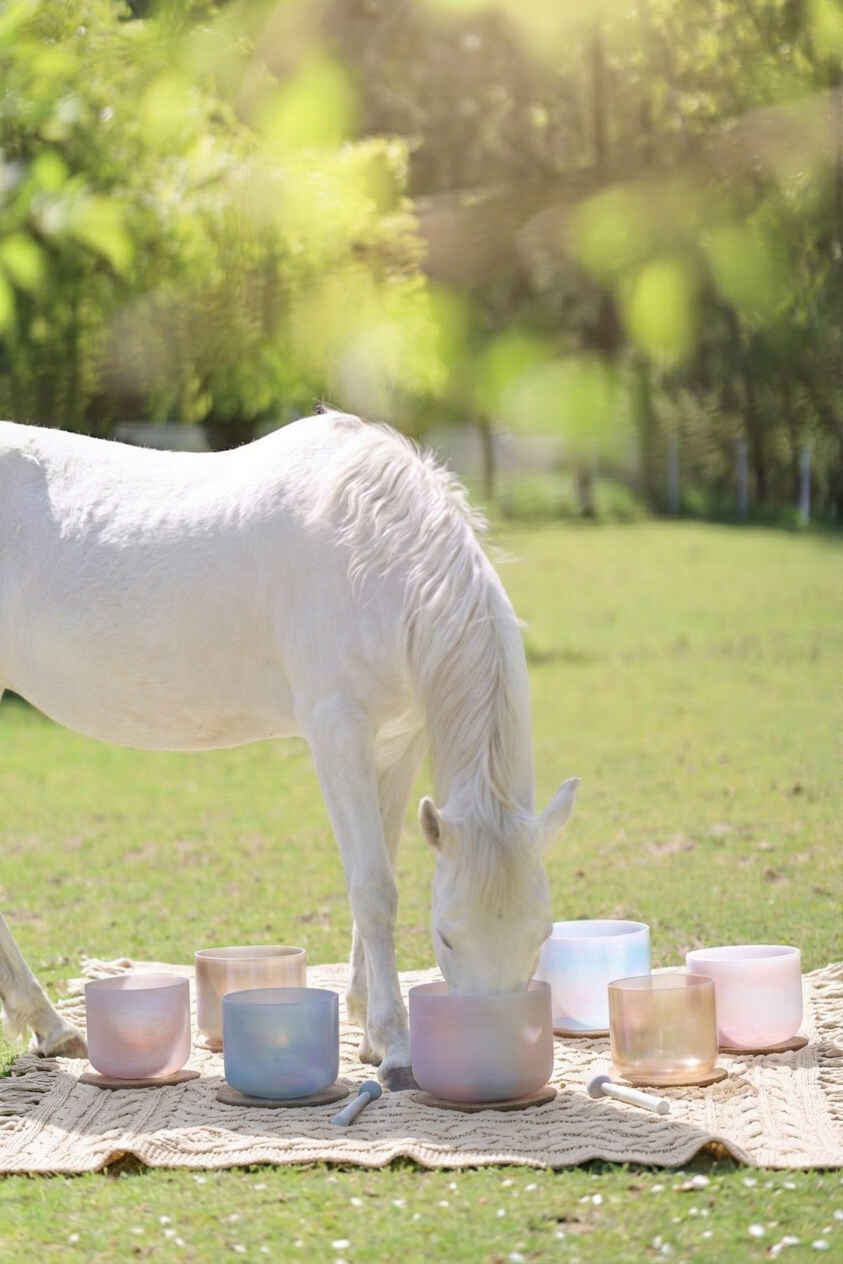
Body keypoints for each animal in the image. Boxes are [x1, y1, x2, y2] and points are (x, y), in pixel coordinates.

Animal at [0, 411, 578, 1088]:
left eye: (541, 934)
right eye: (447, 937)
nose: (493, 1060)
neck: (373, 554)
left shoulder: (397, 744)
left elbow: (380, 868)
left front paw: (367, 1029)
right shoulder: (338, 735)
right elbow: (374, 890)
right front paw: (396, 1047)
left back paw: (51, 1027)